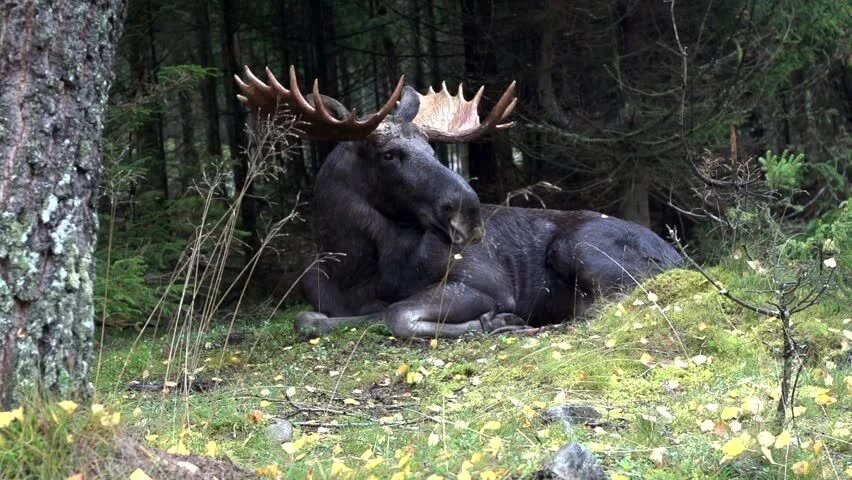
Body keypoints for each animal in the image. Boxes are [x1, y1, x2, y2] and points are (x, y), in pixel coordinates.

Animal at [236, 66, 684, 338]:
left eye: (432, 148)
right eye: (389, 154)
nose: (469, 211)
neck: (355, 267)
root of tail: (677, 257)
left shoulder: (486, 283)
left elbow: (397, 314)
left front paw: (493, 320)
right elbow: (311, 318)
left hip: (578, 248)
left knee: (614, 301)